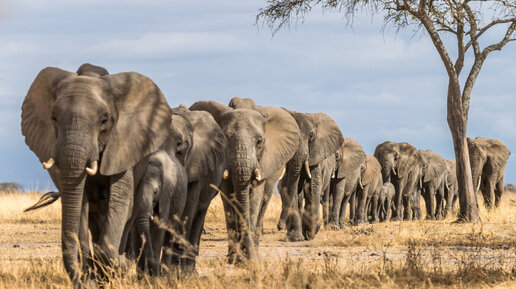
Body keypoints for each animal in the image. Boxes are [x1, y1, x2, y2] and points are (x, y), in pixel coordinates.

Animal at [20, 63, 171, 286]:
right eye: (54, 118)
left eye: (104, 120)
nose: (80, 281)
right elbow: (79, 204)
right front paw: (91, 279)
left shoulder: (123, 146)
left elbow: (120, 201)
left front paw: (119, 266)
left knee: (128, 214)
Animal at [190, 100, 300, 262]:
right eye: (225, 139)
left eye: (259, 142)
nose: (246, 257)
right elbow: (229, 199)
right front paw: (234, 258)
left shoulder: (264, 161)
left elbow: (254, 199)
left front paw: (249, 258)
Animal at [276, 109, 344, 240]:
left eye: (311, 136)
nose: (279, 227)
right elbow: (291, 187)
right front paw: (296, 238)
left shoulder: (317, 154)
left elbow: (312, 186)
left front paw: (310, 231)